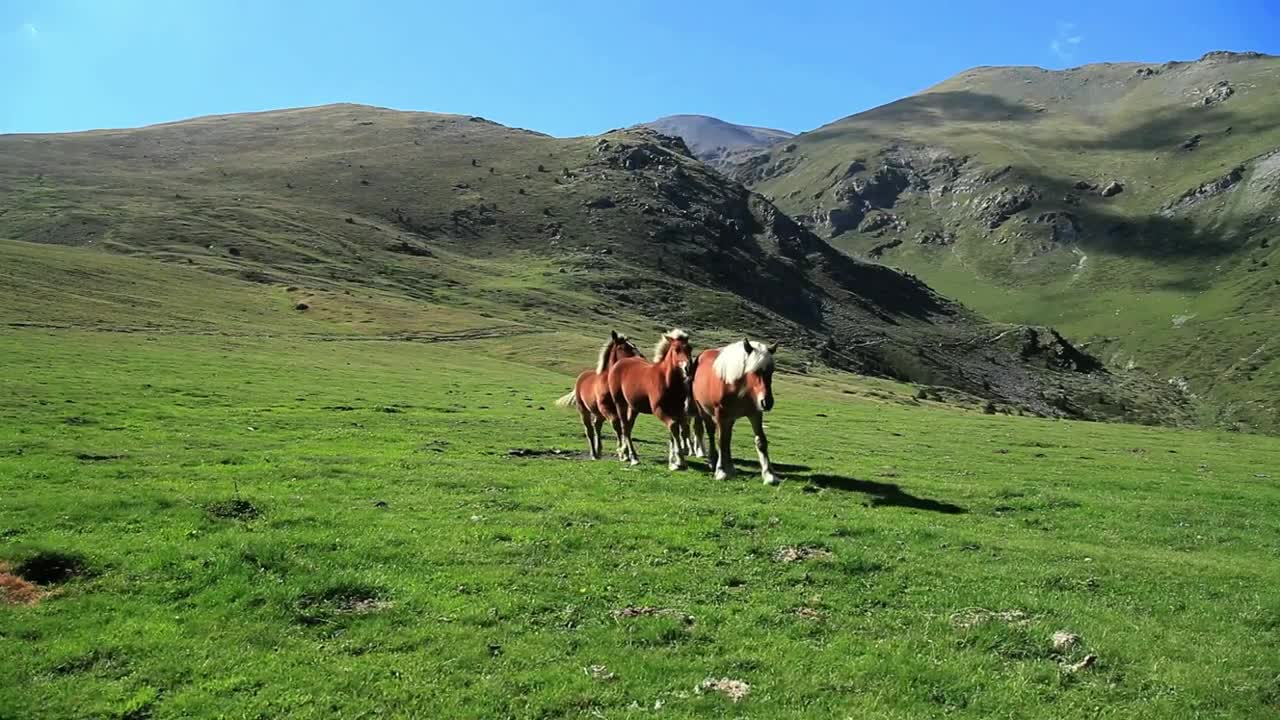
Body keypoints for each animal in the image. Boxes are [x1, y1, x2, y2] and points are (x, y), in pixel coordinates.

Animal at [555, 331, 642, 459]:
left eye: (634, 345)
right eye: (623, 347)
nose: (641, 358)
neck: (609, 382)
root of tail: (581, 377)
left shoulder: (623, 408)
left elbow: (626, 427)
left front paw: (629, 453)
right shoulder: (606, 408)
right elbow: (617, 425)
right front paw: (623, 453)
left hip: (599, 413)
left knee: (597, 426)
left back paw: (599, 450)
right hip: (585, 410)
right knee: (589, 429)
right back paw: (594, 454)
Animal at [607, 329, 695, 469]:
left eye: (690, 348)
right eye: (676, 349)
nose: (688, 368)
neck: (667, 380)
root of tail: (621, 362)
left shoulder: (678, 410)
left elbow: (680, 430)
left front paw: (675, 459)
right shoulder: (659, 410)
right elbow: (674, 426)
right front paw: (679, 461)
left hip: (633, 407)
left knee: (628, 427)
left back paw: (626, 453)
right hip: (620, 403)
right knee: (625, 427)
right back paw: (632, 457)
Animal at [689, 339, 780, 485]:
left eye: (771, 372)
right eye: (755, 371)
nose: (767, 402)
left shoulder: (755, 414)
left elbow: (760, 441)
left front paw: (769, 475)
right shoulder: (720, 414)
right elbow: (721, 441)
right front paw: (721, 471)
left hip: (730, 418)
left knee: (728, 438)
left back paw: (730, 466)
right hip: (704, 410)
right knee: (711, 433)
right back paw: (713, 461)